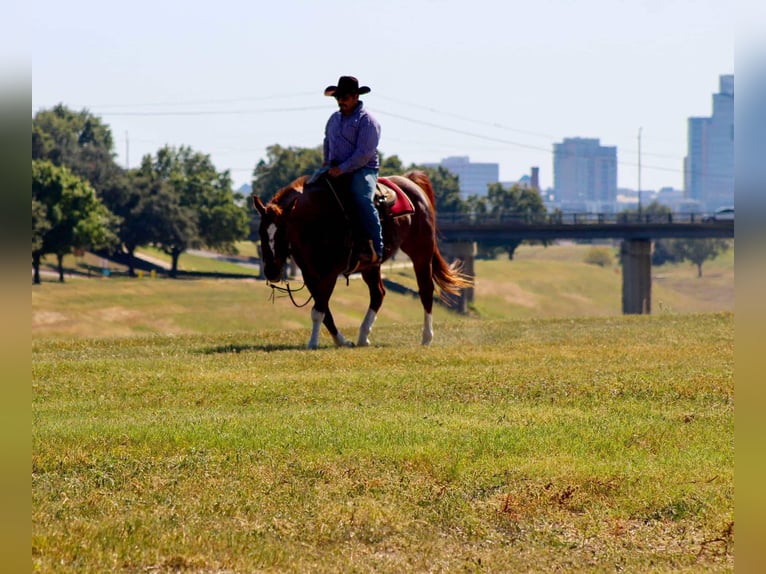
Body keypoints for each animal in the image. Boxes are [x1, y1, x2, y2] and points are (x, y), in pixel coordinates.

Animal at [252, 170, 472, 349]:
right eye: (261, 232)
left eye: (283, 233)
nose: (271, 272)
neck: (318, 219)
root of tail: (410, 182)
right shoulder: (310, 275)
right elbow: (325, 312)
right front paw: (341, 341)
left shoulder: (330, 273)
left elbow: (318, 310)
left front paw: (313, 342)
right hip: (371, 265)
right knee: (378, 293)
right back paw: (363, 336)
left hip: (421, 252)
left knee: (425, 290)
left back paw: (426, 337)